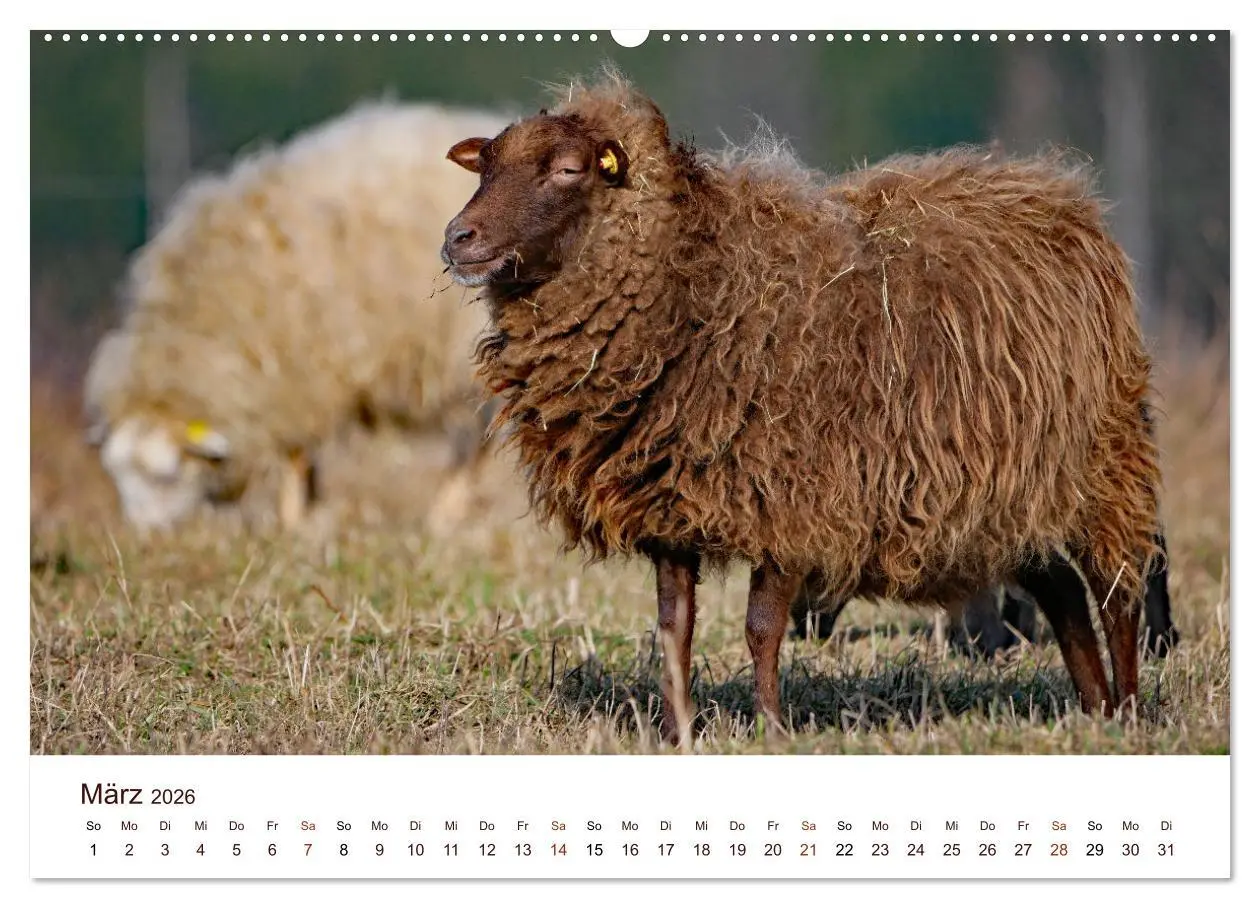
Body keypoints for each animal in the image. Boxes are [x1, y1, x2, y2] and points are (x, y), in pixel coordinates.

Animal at [85, 99, 509, 531]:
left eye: (167, 476)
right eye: (118, 477)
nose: (146, 536)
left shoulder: (299, 372)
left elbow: (295, 454)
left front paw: (292, 518)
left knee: (472, 445)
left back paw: (444, 516)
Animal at [440, 72, 1165, 743]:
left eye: (568, 169)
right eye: (487, 165)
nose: (457, 238)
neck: (696, 283)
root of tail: (1061, 194)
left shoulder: (796, 495)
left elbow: (762, 628)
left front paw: (770, 728)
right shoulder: (671, 507)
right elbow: (675, 628)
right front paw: (677, 732)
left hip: (1104, 460)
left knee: (1116, 587)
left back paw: (1129, 713)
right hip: (1015, 491)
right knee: (1062, 588)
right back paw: (1095, 709)